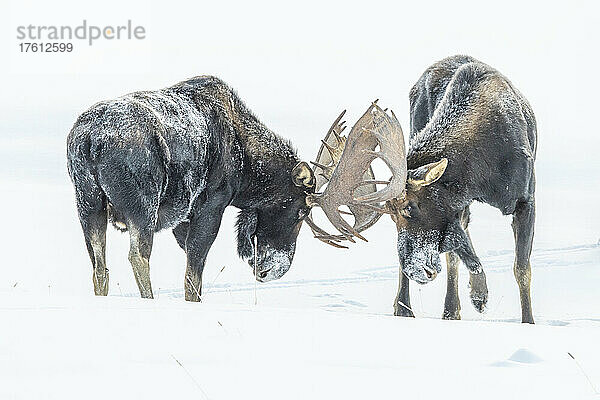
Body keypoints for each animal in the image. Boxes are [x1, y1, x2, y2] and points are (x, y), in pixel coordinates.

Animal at [308, 54, 536, 324]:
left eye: (410, 207)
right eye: (391, 215)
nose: (415, 270)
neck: (481, 172)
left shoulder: (525, 199)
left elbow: (521, 268)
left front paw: (528, 321)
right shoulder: (456, 202)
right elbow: (459, 250)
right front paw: (478, 295)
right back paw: (420, 308)